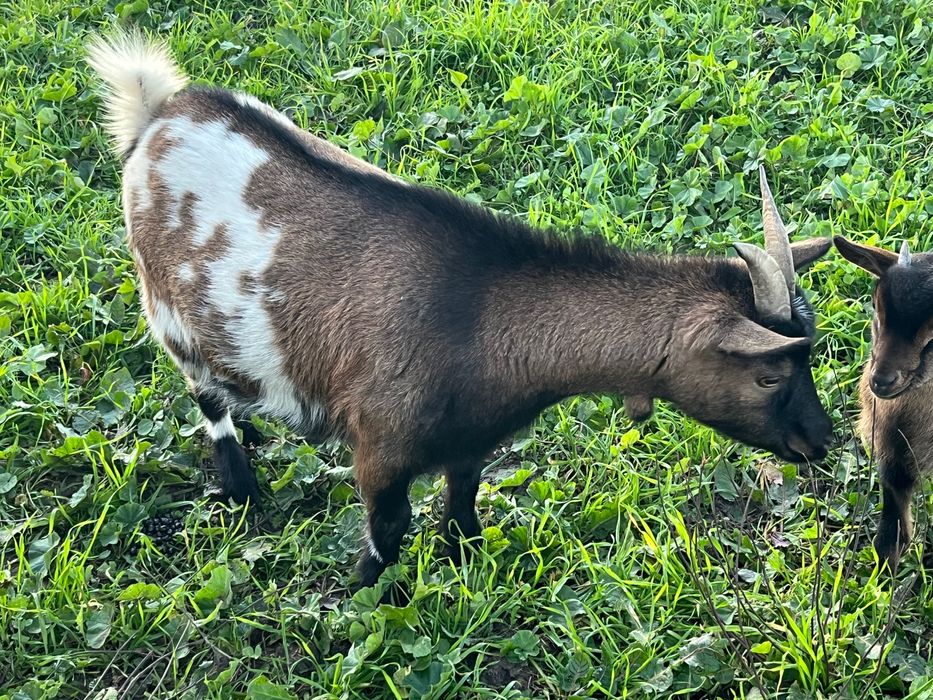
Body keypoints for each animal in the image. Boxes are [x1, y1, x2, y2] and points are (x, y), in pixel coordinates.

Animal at [88, 31, 833, 590]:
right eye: (769, 373)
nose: (821, 442)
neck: (480, 319)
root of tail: (158, 116)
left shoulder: (472, 441)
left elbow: (463, 506)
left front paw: (465, 564)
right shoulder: (379, 449)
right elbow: (386, 534)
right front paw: (366, 600)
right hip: (167, 308)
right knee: (202, 393)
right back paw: (241, 484)